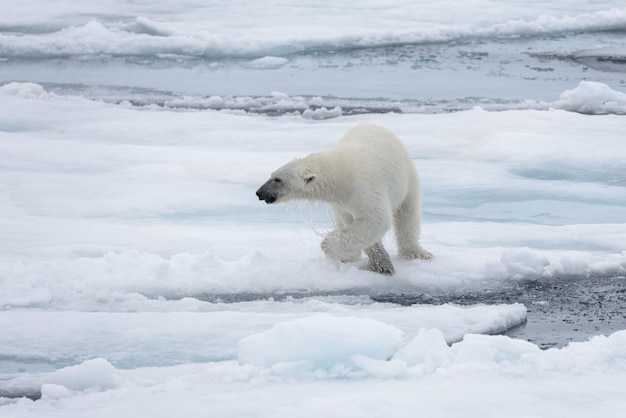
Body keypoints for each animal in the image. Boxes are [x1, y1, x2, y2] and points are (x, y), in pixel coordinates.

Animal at [256, 124, 432, 274]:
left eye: (278, 179)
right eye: (272, 174)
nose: (259, 193)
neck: (342, 175)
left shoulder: (366, 187)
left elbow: (376, 219)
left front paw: (328, 244)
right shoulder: (343, 203)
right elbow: (357, 225)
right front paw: (380, 264)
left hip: (407, 177)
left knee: (407, 215)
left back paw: (415, 253)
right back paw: (349, 257)